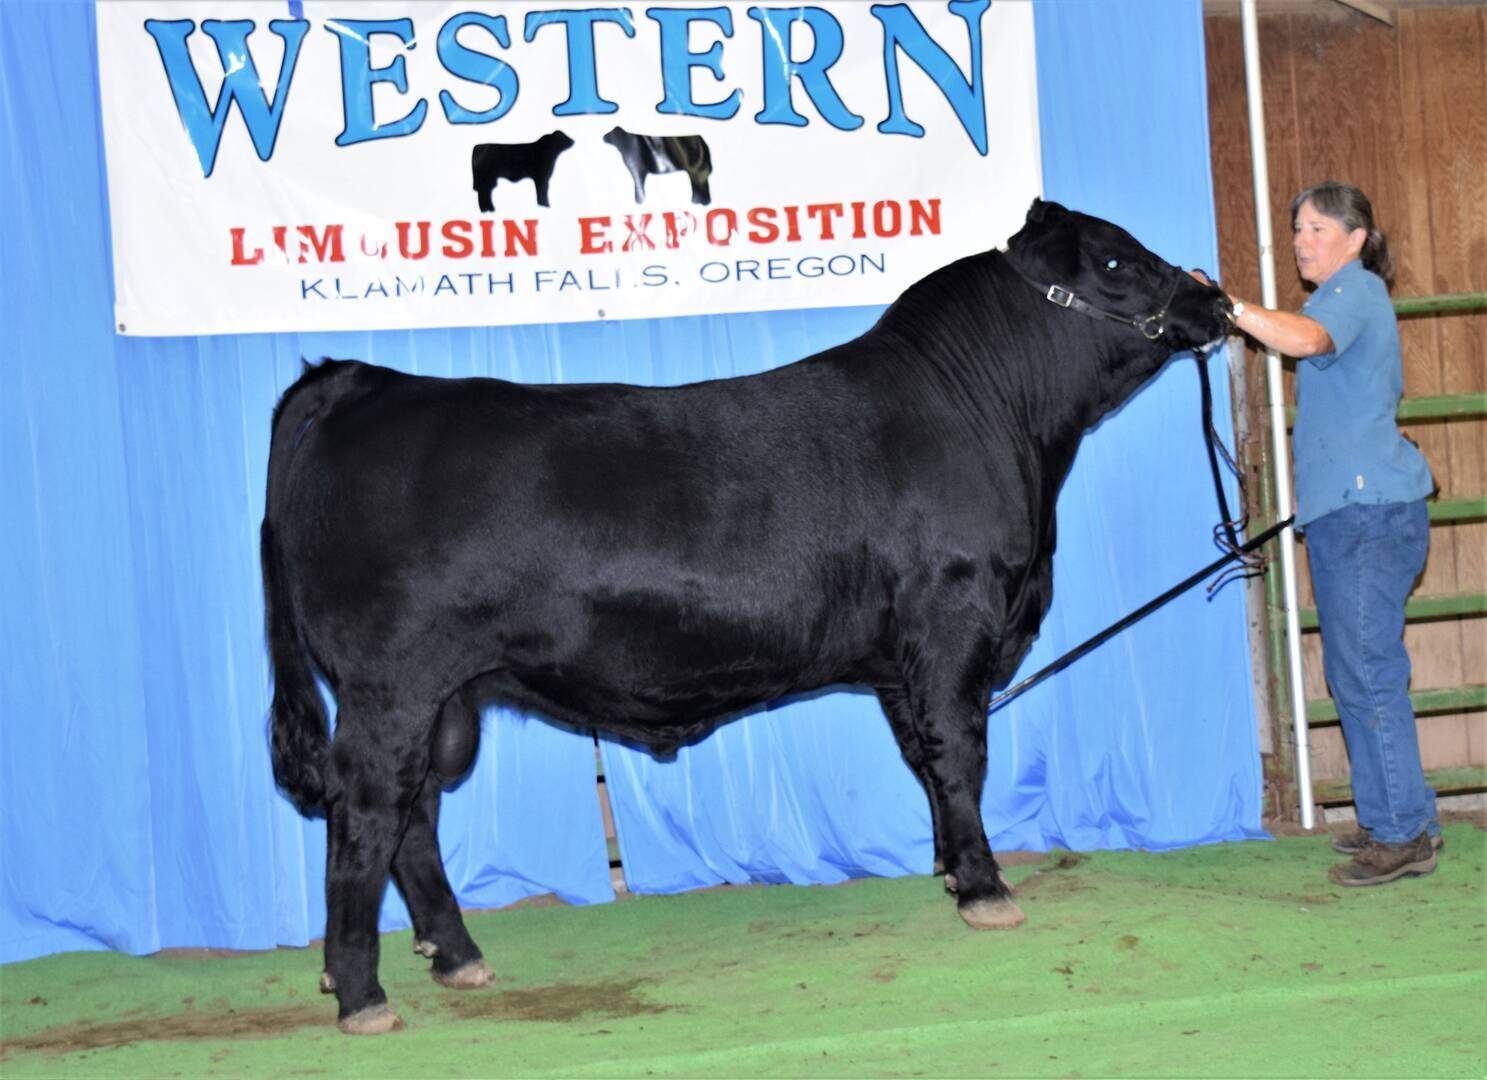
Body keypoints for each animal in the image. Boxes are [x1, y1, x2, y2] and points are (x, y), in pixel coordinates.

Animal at [261, 200, 1232, 1034]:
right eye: (1114, 261)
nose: (1215, 298)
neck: (995, 422)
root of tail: (368, 382)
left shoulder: (901, 659)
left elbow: (924, 757)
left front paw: (953, 874)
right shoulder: (954, 617)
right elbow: (960, 754)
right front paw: (989, 890)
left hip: (437, 694)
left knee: (413, 813)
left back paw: (459, 956)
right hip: (390, 683)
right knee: (367, 811)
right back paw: (361, 994)